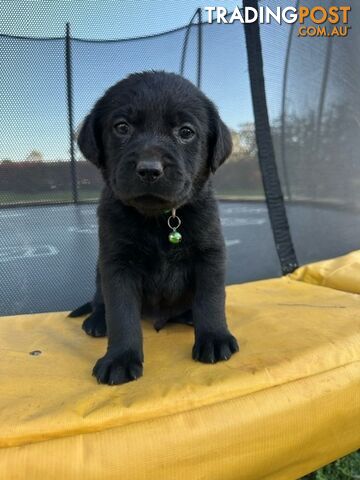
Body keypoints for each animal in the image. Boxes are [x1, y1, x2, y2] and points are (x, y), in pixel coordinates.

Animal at [70, 71, 239, 384]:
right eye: (122, 127)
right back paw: (97, 321)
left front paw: (213, 337)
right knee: (100, 301)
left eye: (186, 132)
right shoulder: (117, 264)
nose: (149, 170)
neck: (161, 218)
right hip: (99, 271)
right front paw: (120, 358)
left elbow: (210, 299)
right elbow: (121, 313)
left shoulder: (210, 254)